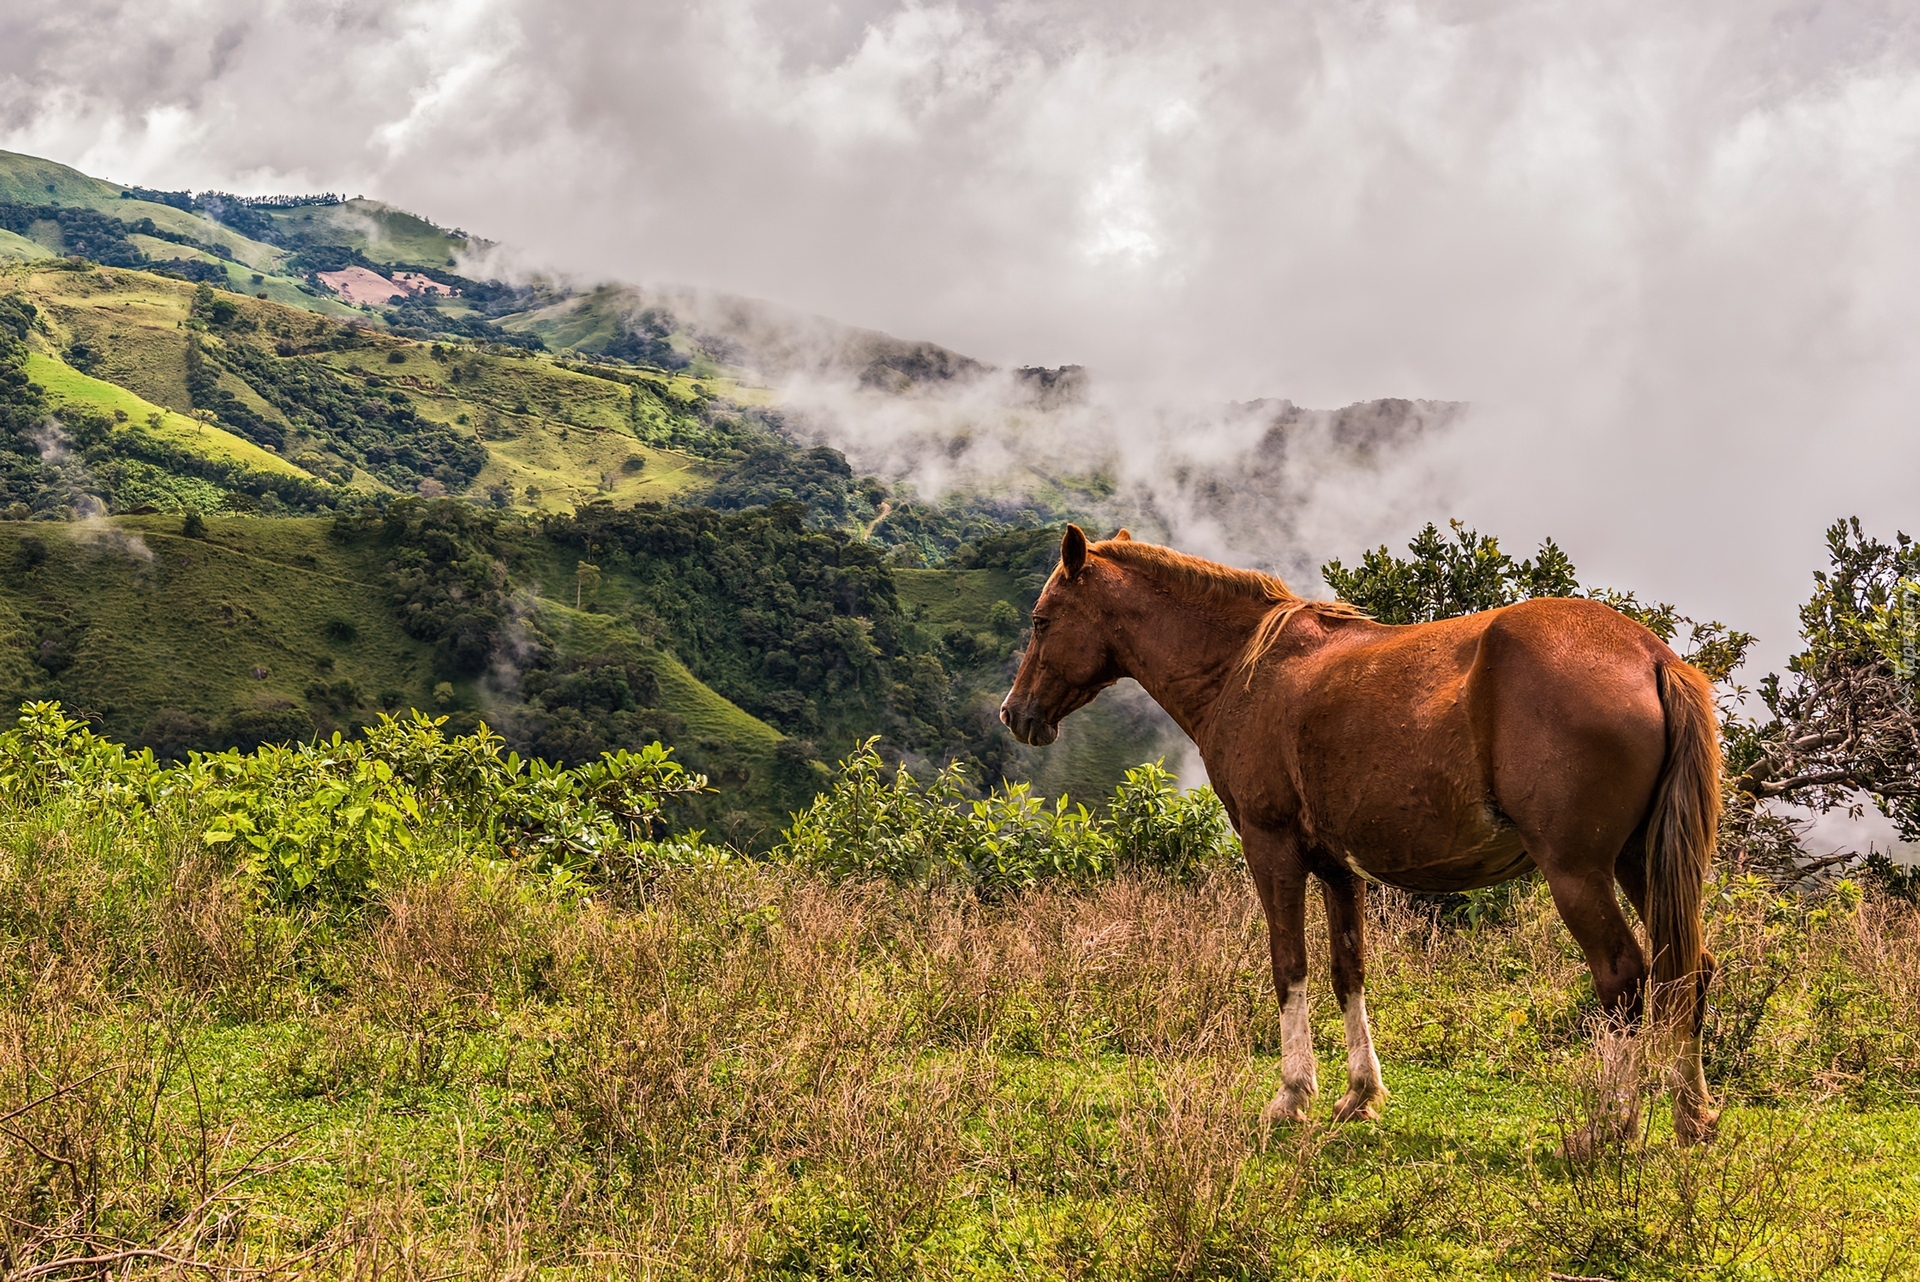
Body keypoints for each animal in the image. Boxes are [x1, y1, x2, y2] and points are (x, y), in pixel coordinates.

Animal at [1006, 525, 1728, 1143]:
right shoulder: (1337, 868)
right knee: (1688, 970)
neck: (1244, 667)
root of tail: (1650, 656)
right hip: (1639, 863)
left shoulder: (1271, 849)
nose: (1016, 714)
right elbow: (1347, 970)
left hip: (1577, 872)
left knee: (1625, 979)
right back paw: (1693, 1116)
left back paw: (1611, 1125)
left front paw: (1292, 1095)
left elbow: (1289, 965)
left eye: (1042, 622)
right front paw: (1358, 1094)